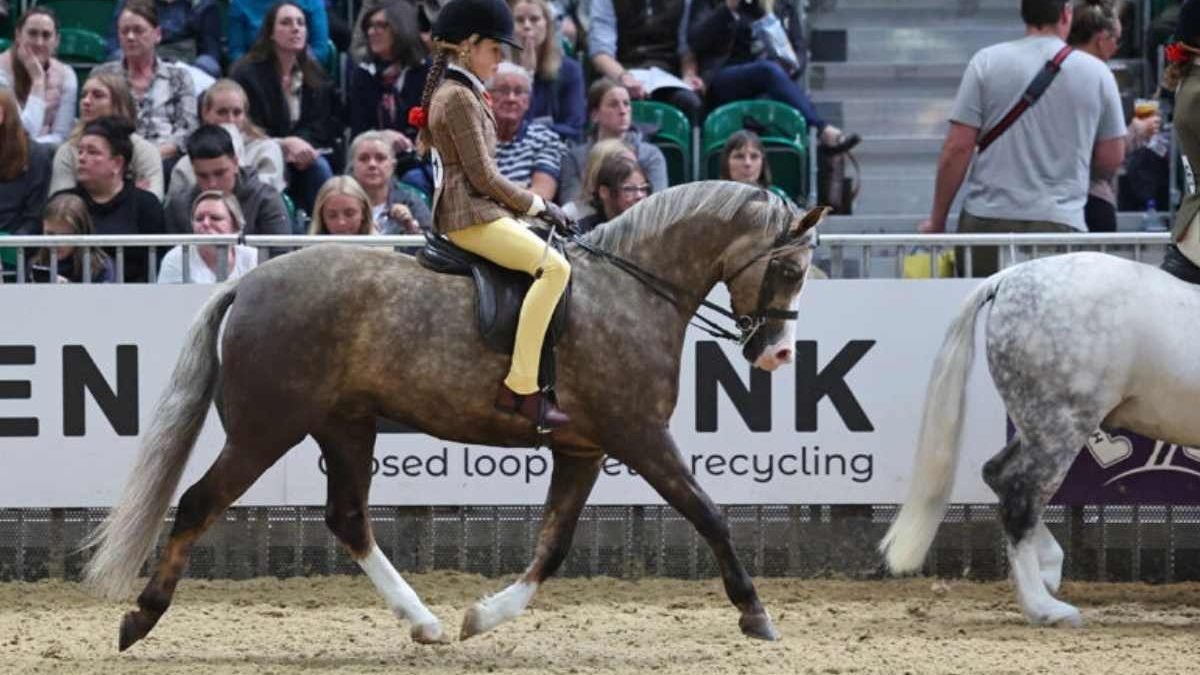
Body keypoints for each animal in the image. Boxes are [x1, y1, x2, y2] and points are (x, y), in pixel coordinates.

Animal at [80, 181, 824, 651]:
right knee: (200, 502)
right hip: (266, 429)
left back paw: (426, 623)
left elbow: (553, 546)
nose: (778, 353)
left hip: (346, 426)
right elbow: (708, 512)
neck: (631, 288)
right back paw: (140, 618)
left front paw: (481, 617)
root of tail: (251, 282)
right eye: (789, 269)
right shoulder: (639, 435)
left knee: (348, 518)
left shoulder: (583, 448)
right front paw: (756, 612)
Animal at [879, 251, 1200, 627]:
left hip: (1039, 424)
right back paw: (1045, 608)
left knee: (998, 474)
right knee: (1020, 498)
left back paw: (1048, 570)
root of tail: (1007, 278)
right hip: (1062, 424)